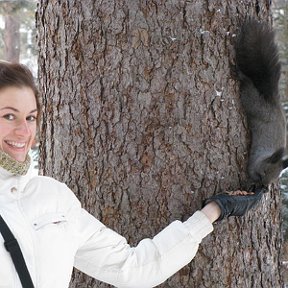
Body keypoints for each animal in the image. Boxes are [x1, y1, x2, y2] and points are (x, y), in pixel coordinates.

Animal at [235, 19, 286, 188]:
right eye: (263, 172)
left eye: (275, 177)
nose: (264, 186)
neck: (266, 155)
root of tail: (273, 102)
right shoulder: (253, 163)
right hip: (255, 105)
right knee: (248, 88)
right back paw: (241, 76)